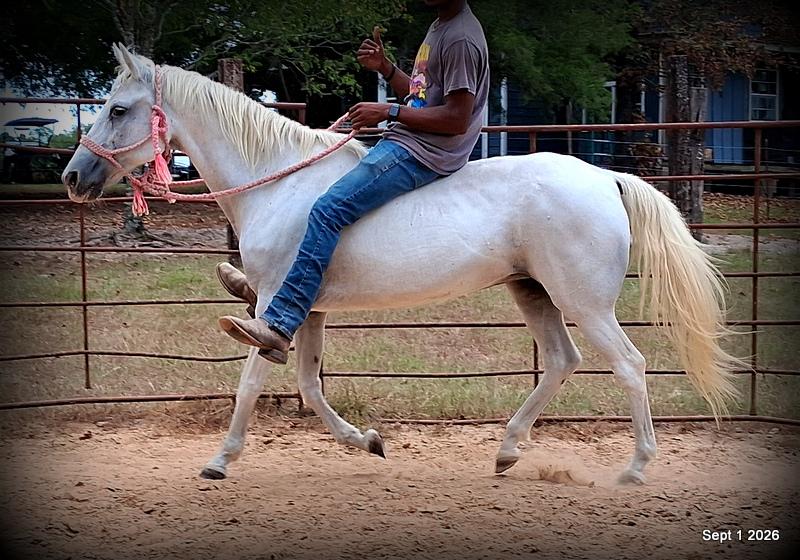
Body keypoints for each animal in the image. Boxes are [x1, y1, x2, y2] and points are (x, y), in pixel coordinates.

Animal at [62, 44, 739, 484]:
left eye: (118, 109)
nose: (73, 177)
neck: (278, 183)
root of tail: (607, 178)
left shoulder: (277, 299)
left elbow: (253, 378)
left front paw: (220, 461)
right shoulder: (308, 310)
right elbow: (308, 383)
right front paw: (368, 442)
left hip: (584, 302)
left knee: (629, 365)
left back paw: (635, 468)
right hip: (533, 292)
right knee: (562, 361)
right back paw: (507, 451)